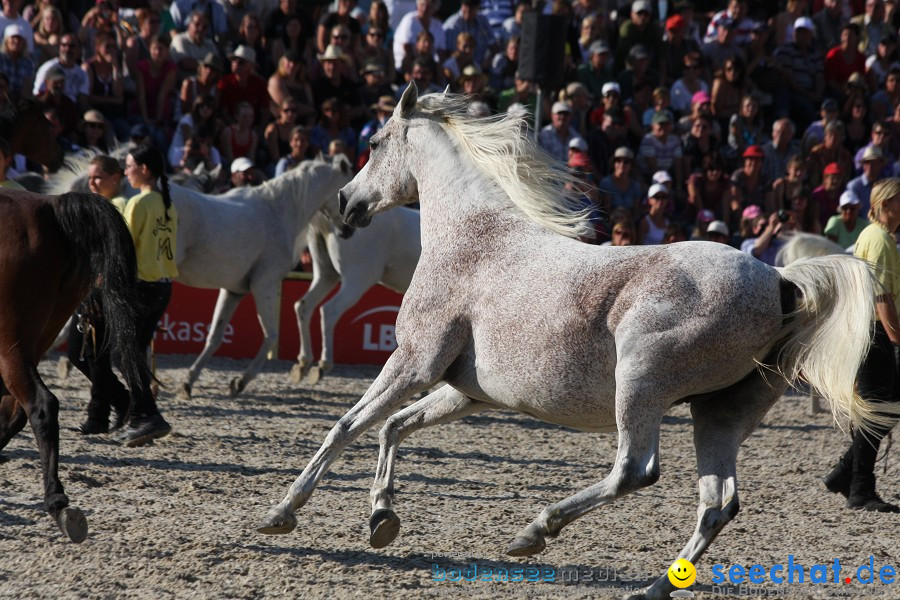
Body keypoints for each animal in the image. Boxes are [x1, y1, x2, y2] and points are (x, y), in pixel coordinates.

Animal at [47, 155, 354, 398]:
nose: (348, 231)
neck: (278, 211)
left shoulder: (234, 291)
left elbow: (215, 337)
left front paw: (188, 382)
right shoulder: (264, 285)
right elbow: (270, 335)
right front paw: (239, 383)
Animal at [296, 205, 422, 384]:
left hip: (326, 274)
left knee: (304, 306)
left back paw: (303, 361)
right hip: (358, 279)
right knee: (329, 310)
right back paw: (323, 364)